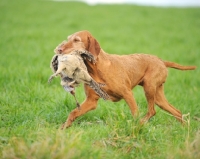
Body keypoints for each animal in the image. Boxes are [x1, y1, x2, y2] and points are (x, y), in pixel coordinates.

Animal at [55, 30, 197, 129]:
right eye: (68, 39)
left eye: (76, 40)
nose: (59, 49)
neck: (96, 68)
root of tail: (161, 61)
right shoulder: (91, 101)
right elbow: (73, 113)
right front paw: (63, 128)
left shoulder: (128, 94)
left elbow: (135, 114)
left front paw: (135, 130)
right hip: (158, 97)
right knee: (177, 112)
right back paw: (185, 130)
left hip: (149, 87)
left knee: (152, 111)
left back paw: (141, 124)